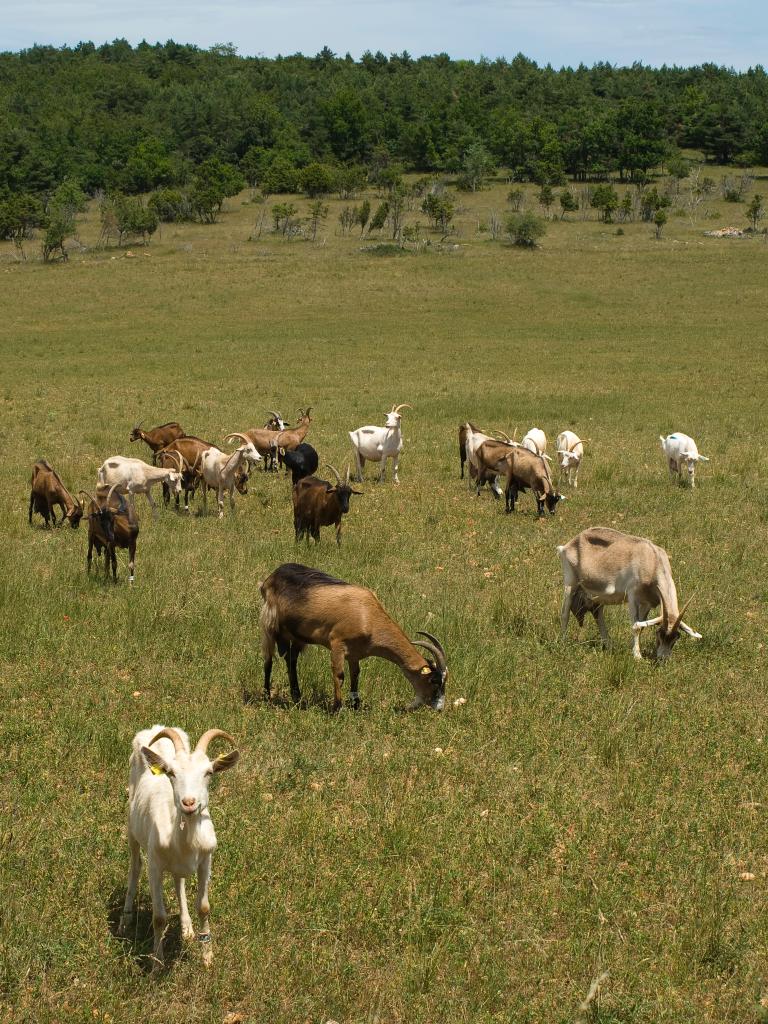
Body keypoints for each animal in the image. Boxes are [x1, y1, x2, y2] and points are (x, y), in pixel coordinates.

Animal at [115, 729, 237, 966]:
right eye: (170, 773)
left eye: (209, 772)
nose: (188, 803)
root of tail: (155, 728)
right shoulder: (155, 865)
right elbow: (159, 917)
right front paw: (157, 963)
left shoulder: (206, 861)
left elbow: (204, 907)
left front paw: (207, 956)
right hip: (132, 826)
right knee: (135, 866)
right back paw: (125, 922)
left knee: (178, 880)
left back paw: (186, 927)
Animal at [262, 561, 448, 712]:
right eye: (434, 680)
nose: (439, 708)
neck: (367, 615)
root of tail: (273, 575)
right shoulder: (337, 643)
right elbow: (339, 674)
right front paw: (337, 708)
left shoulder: (355, 653)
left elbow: (355, 674)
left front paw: (356, 705)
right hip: (269, 624)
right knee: (268, 660)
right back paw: (266, 696)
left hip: (298, 636)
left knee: (291, 660)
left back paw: (297, 697)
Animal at [561, 524, 704, 659]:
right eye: (659, 633)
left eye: (676, 637)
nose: (662, 659)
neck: (652, 560)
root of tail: (570, 543)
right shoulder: (632, 595)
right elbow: (636, 625)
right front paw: (637, 656)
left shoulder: (647, 602)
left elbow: (641, 626)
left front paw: (634, 649)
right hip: (570, 582)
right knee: (565, 613)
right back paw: (562, 642)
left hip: (597, 596)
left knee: (598, 614)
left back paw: (609, 645)